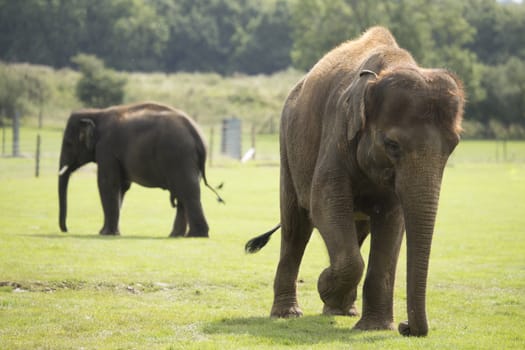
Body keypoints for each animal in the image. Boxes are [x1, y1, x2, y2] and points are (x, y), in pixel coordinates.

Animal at [58, 101, 222, 238]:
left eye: (68, 143)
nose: (66, 229)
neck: (96, 113)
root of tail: (197, 135)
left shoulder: (106, 148)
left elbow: (107, 184)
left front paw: (105, 234)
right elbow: (122, 187)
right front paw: (110, 232)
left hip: (179, 156)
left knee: (188, 191)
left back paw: (196, 235)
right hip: (187, 160)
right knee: (184, 193)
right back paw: (177, 235)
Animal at [246, 25, 462, 336]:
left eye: (453, 145)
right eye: (392, 145)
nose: (406, 327)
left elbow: (392, 219)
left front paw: (375, 327)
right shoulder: (337, 130)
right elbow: (324, 203)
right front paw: (325, 283)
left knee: (356, 229)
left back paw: (342, 310)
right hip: (288, 147)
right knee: (296, 225)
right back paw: (289, 313)